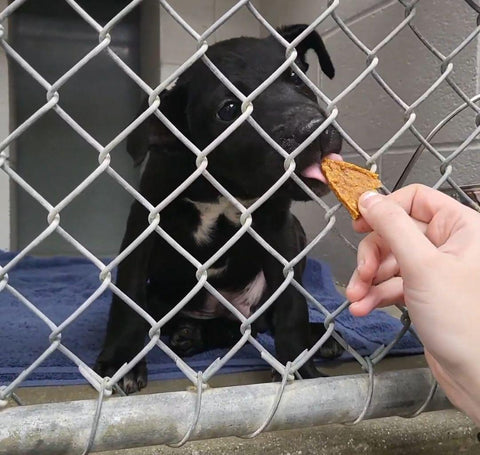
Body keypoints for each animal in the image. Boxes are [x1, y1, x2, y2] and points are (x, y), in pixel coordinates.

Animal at [96, 24, 344, 392]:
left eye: (295, 78)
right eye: (228, 110)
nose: (313, 131)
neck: (223, 186)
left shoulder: (279, 228)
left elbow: (290, 303)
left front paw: (296, 363)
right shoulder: (144, 225)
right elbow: (128, 298)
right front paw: (121, 361)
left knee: (256, 324)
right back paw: (188, 332)